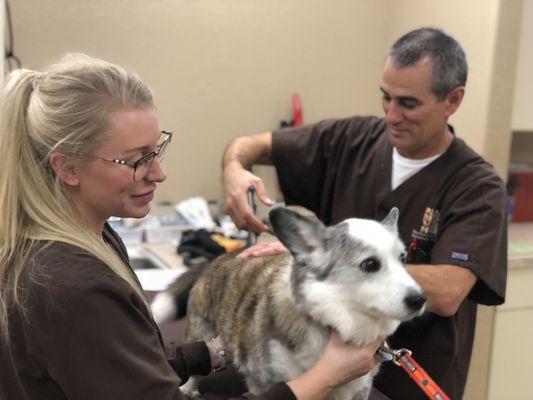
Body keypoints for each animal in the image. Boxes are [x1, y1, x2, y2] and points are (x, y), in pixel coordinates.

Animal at [150, 208, 424, 398]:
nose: (420, 300)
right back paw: (189, 388)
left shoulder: (356, 391)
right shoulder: (269, 382)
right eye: (370, 264)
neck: (331, 325)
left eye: (403, 258)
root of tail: (218, 259)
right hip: (201, 330)